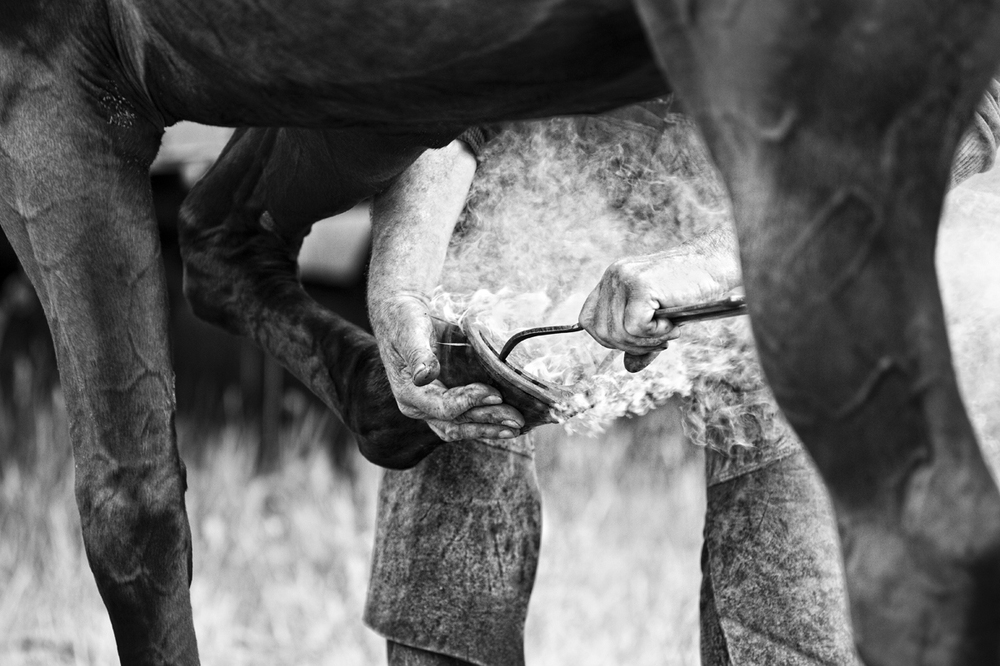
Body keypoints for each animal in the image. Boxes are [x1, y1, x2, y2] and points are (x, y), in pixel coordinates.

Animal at [1, 0, 1000, 660]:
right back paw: (383, 406)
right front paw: (402, 384)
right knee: (219, 233)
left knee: (920, 551)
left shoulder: (49, 84)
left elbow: (132, 515)